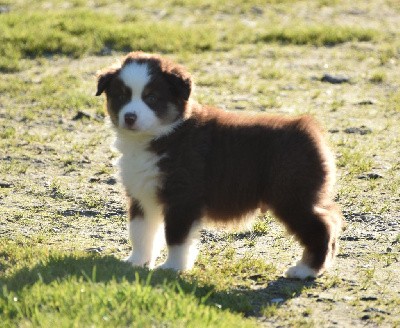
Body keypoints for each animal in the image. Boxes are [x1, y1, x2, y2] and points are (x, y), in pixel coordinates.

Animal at [95, 51, 342, 280]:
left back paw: (305, 269)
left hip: (291, 195)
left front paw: (173, 267)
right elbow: (140, 232)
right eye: (121, 96)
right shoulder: (142, 194)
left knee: (321, 227)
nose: (130, 117)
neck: (161, 136)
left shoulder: (182, 197)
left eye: (152, 98)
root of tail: (309, 129)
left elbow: (175, 236)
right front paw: (135, 262)